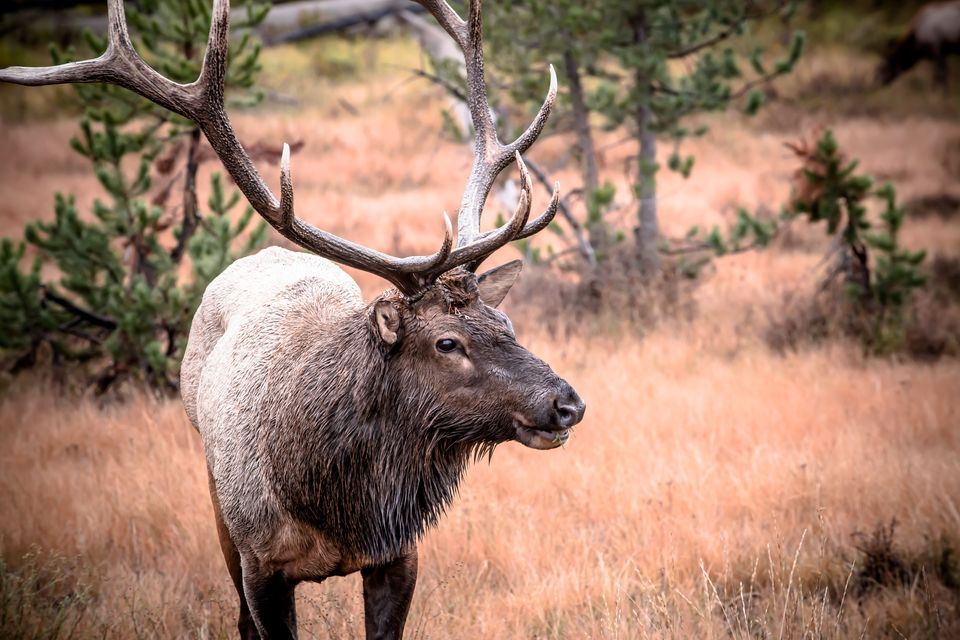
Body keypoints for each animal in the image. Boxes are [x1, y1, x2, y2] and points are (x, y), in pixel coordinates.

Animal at [0, 1, 588, 640]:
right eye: (447, 343)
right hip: (216, 496)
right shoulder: (261, 563)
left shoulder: (398, 555)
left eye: (506, 325)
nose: (567, 404)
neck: (336, 503)